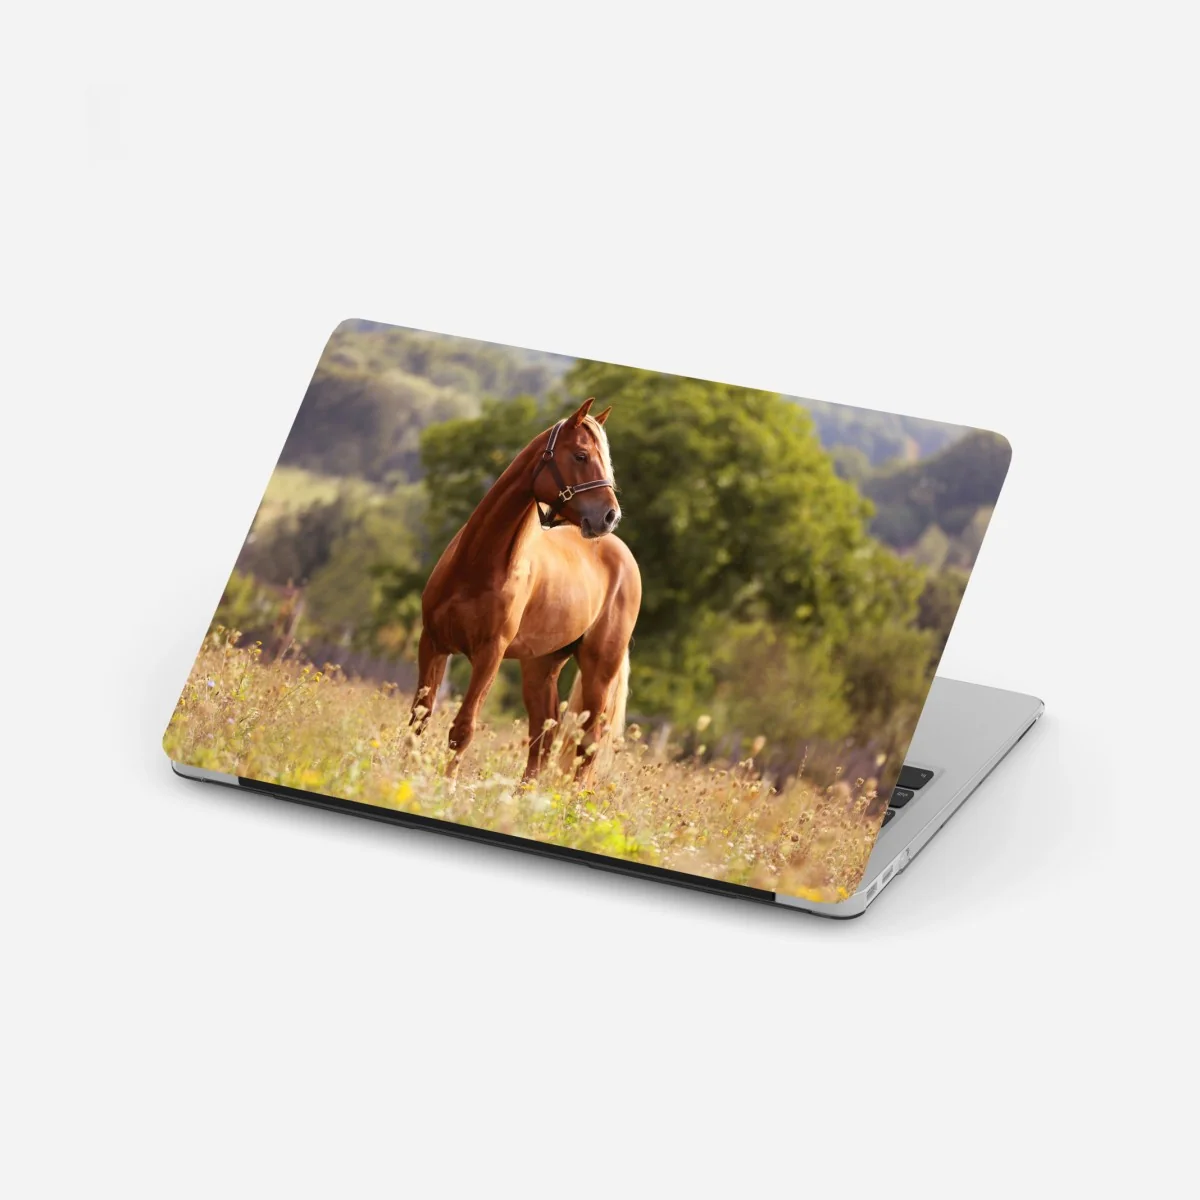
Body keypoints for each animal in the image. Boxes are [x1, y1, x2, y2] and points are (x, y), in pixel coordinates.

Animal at [410, 397, 642, 784]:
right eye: (581, 455)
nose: (610, 516)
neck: (478, 564)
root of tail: (623, 555)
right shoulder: (433, 643)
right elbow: (420, 717)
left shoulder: (489, 656)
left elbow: (463, 729)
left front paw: (445, 786)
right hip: (540, 666)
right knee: (543, 736)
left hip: (599, 670)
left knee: (588, 744)